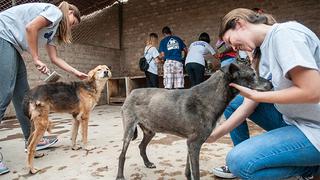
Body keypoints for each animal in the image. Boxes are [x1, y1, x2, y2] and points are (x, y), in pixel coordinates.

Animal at [115, 61, 272, 179]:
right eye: (253, 74)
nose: (271, 84)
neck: (210, 97)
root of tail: (132, 92)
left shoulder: (190, 142)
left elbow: (188, 170)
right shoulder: (194, 143)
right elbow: (196, 172)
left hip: (150, 131)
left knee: (141, 146)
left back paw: (147, 163)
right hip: (129, 130)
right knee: (122, 155)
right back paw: (120, 176)